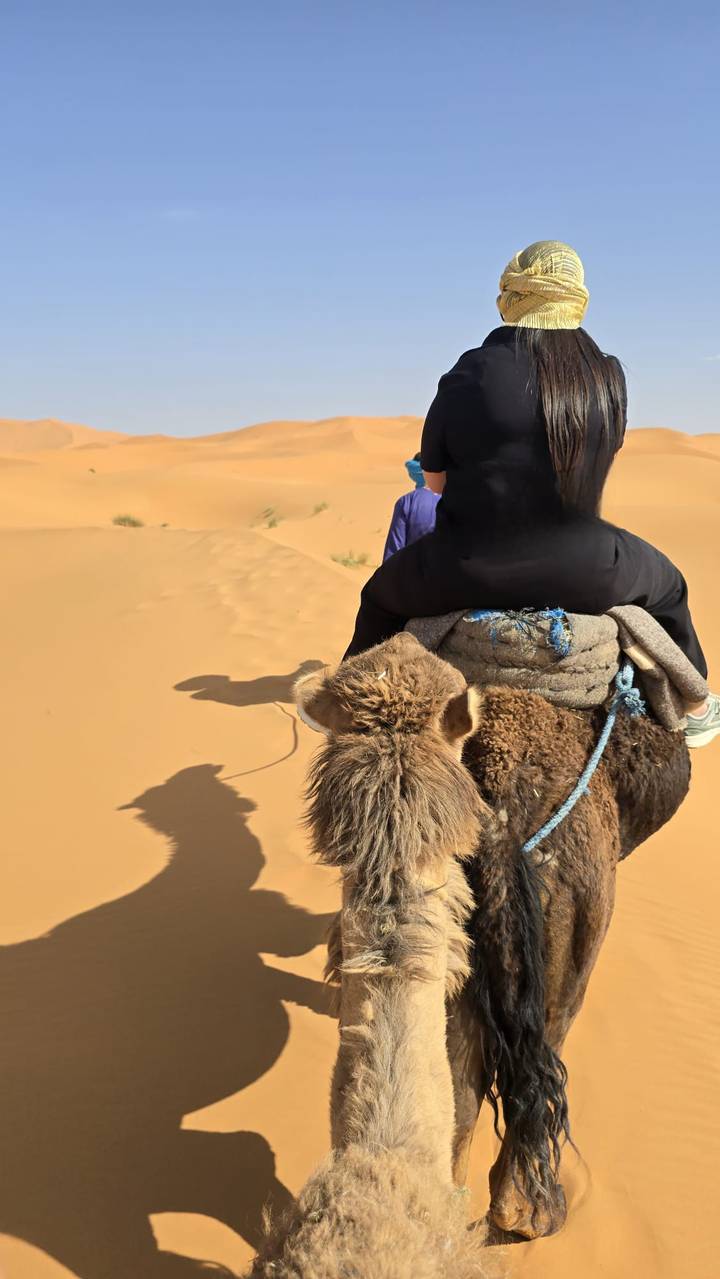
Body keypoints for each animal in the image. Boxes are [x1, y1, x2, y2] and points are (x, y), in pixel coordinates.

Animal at [279, 630, 690, 1250]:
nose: (403, 637)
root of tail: (505, 811)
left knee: (461, 1095)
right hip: (577, 929)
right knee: (542, 1053)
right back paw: (530, 1215)